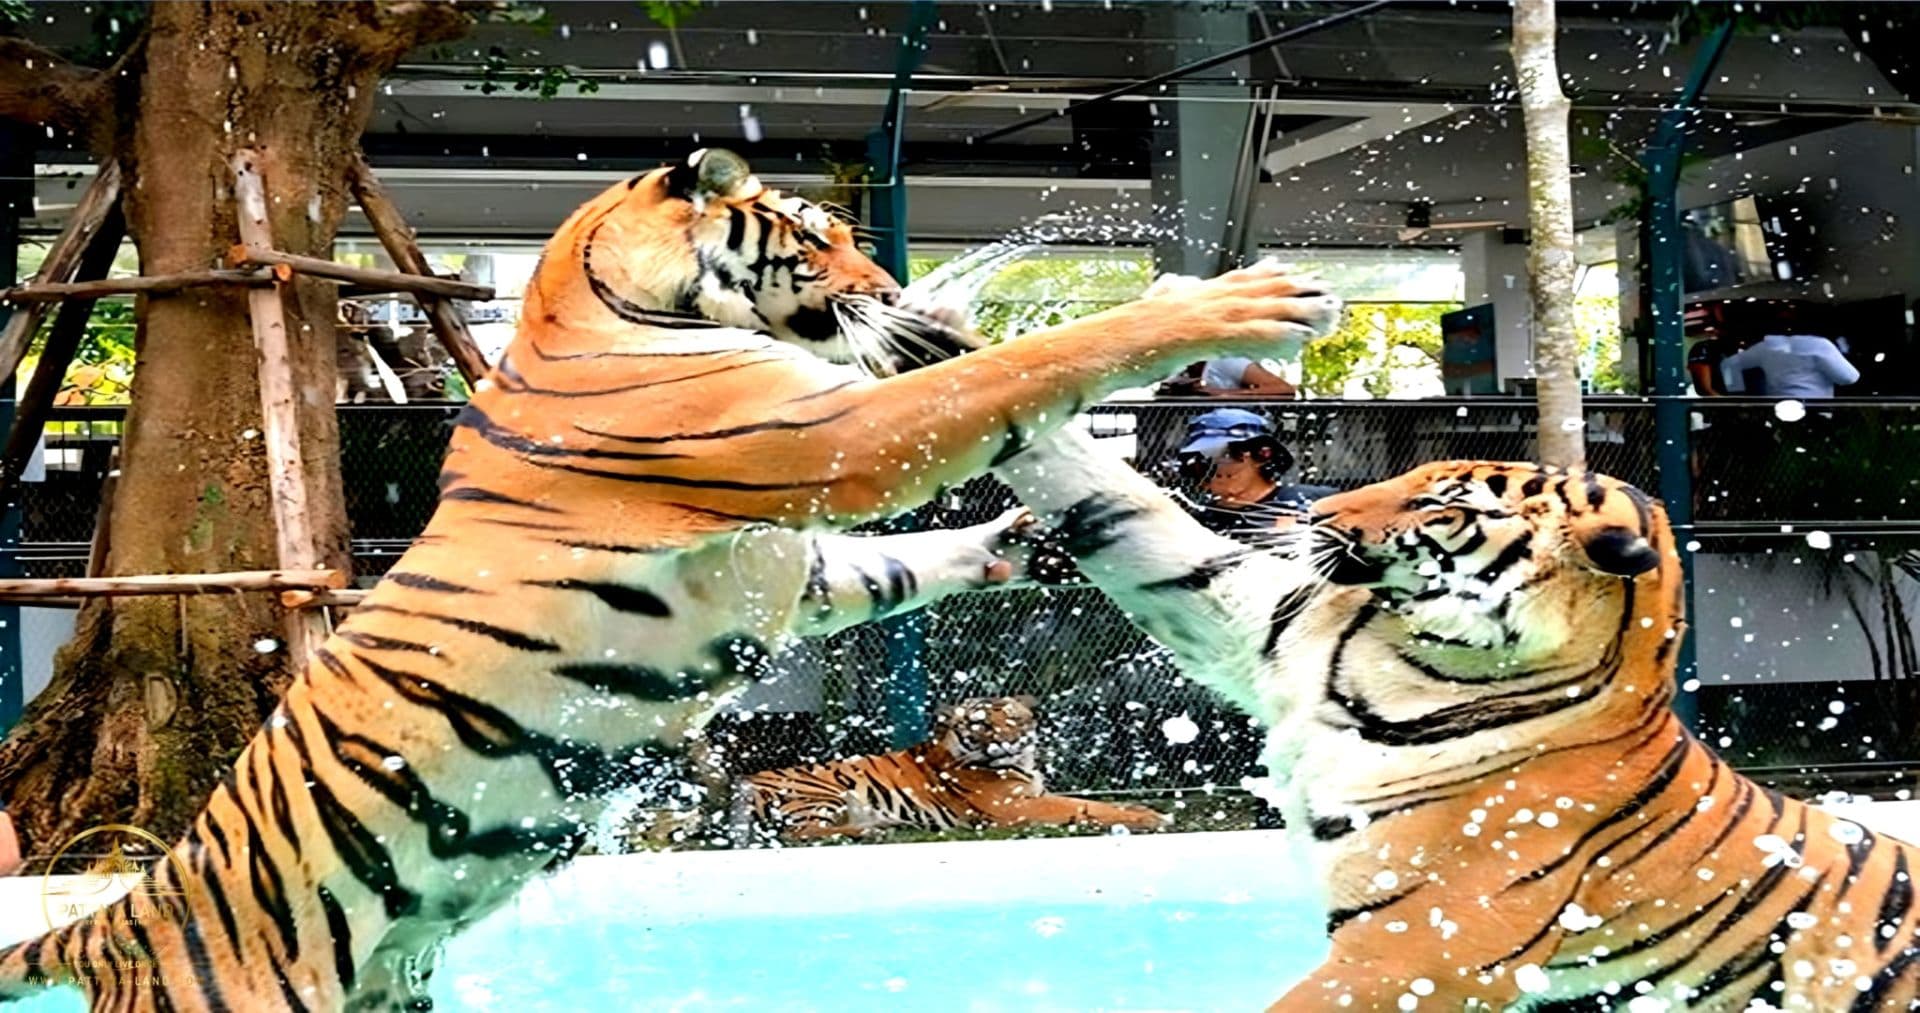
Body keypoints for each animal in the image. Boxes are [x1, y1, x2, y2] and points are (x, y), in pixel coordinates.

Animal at [732, 694, 1168, 843]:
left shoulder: (1035, 794)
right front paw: (1152, 818)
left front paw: (1142, 809)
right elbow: (1085, 807)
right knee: (798, 833)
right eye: (980, 725)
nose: (1003, 743)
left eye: (1013, 720)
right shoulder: (1018, 806)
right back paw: (871, 832)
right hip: (819, 790)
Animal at [987, 434, 1920, 1011]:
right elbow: (1125, 509)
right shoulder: (1251, 613)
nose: (1316, 516)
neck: (1389, 659)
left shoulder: (1412, 952)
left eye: (1442, 505)